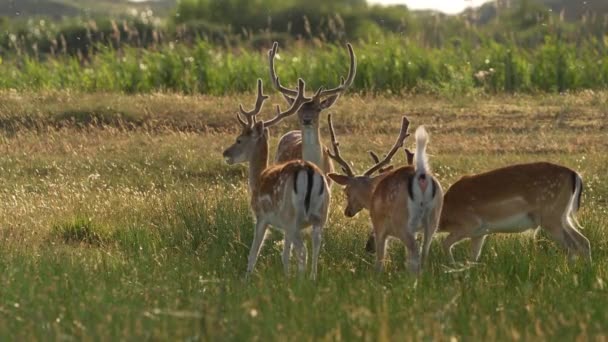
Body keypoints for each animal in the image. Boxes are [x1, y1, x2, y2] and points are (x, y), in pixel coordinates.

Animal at [221, 78, 330, 280]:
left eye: (239, 139)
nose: (226, 153)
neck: (258, 177)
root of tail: (309, 171)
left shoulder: (261, 215)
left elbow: (254, 252)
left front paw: (246, 278)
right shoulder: (288, 227)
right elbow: (289, 253)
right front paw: (288, 275)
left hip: (291, 215)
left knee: (299, 250)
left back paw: (297, 280)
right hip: (320, 213)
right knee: (316, 246)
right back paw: (311, 278)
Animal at [326, 115, 444, 272]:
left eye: (346, 191)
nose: (347, 211)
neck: (371, 197)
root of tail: (422, 178)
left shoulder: (379, 225)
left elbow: (380, 259)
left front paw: (377, 273)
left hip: (402, 220)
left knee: (414, 249)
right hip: (433, 219)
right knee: (424, 252)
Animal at [440, 162, 592, 264]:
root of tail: (575, 175)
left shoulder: (470, 224)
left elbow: (445, 243)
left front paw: (452, 267)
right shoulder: (479, 234)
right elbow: (473, 258)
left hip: (551, 217)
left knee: (572, 246)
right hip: (563, 216)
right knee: (583, 241)